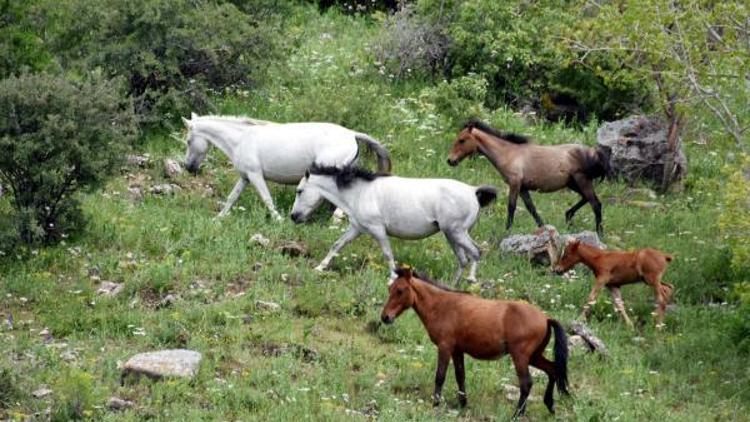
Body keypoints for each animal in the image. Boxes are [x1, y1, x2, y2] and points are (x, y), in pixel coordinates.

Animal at [183, 115, 394, 221]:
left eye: (188, 141)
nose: (188, 168)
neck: (242, 139)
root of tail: (352, 134)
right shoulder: (245, 177)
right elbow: (231, 198)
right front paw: (219, 218)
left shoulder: (255, 175)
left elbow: (267, 199)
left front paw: (278, 220)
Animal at [290, 165, 500, 284]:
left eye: (300, 191)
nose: (294, 216)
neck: (360, 192)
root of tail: (473, 191)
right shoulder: (357, 229)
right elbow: (337, 245)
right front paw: (320, 267)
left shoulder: (378, 230)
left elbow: (388, 254)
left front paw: (392, 278)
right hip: (451, 235)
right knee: (463, 259)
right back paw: (452, 286)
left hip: (456, 232)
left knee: (476, 252)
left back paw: (471, 280)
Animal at [382, 266, 568, 418]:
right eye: (389, 288)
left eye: (400, 290)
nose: (385, 317)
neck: (442, 306)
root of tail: (545, 318)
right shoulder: (457, 351)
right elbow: (460, 376)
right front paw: (462, 404)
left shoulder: (445, 347)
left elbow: (440, 376)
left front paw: (436, 404)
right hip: (534, 356)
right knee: (552, 370)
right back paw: (549, 406)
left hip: (520, 357)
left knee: (526, 384)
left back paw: (517, 414)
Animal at [446, 118, 612, 236]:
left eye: (462, 140)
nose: (450, 161)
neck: (509, 154)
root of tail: (594, 152)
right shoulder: (523, 188)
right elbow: (532, 208)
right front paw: (544, 228)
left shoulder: (515, 184)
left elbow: (511, 207)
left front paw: (507, 231)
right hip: (573, 183)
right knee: (587, 199)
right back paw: (568, 217)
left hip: (581, 180)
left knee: (595, 204)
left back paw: (599, 233)